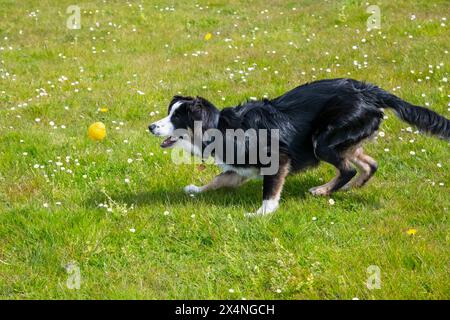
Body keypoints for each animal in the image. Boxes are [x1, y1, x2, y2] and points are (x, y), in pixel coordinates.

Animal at [149, 79, 450, 216]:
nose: (151, 126)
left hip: (324, 141)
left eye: (176, 118)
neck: (220, 127)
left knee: (349, 169)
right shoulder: (239, 168)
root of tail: (367, 91)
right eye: (168, 113)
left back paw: (324, 190)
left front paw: (260, 215)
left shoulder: (277, 159)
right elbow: (218, 179)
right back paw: (346, 189)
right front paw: (196, 189)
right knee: (369, 164)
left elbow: (270, 192)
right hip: (347, 139)